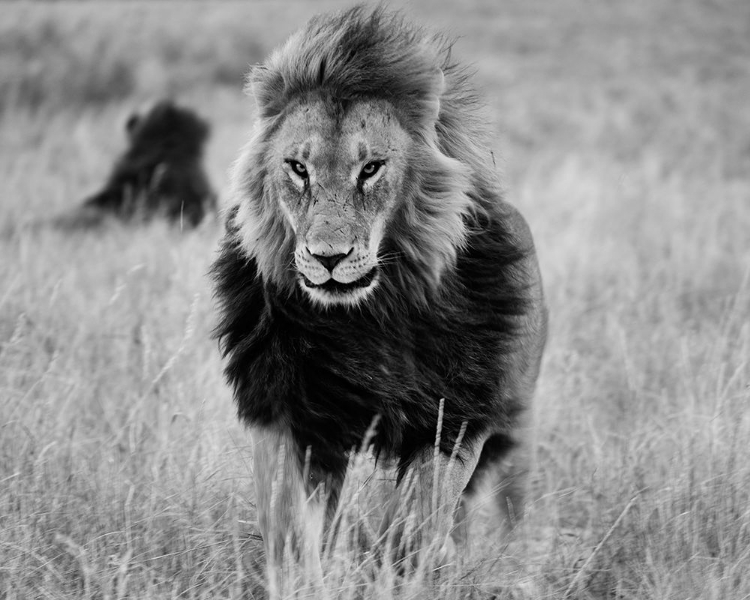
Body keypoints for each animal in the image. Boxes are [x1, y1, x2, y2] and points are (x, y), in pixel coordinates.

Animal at [214, 4, 548, 596]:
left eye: (370, 169)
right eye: (297, 168)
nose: (327, 257)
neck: (369, 318)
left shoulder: (453, 419)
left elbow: (418, 518)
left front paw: (403, 573)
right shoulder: (288, 412)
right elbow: (289, 523)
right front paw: (302, 579)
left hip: (516, 428)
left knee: (500, 512)